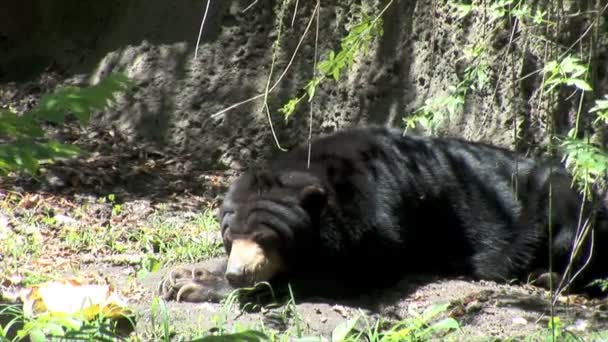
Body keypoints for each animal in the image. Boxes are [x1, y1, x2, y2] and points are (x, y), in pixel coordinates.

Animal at [158, 126, 608, 302]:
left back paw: (546, 276)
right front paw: (183, 274)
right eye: (229, 237)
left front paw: (199, 286)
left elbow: (343, 273)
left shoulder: (379, 222)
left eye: (268, 238)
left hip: (561, 206)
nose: (239, 273)